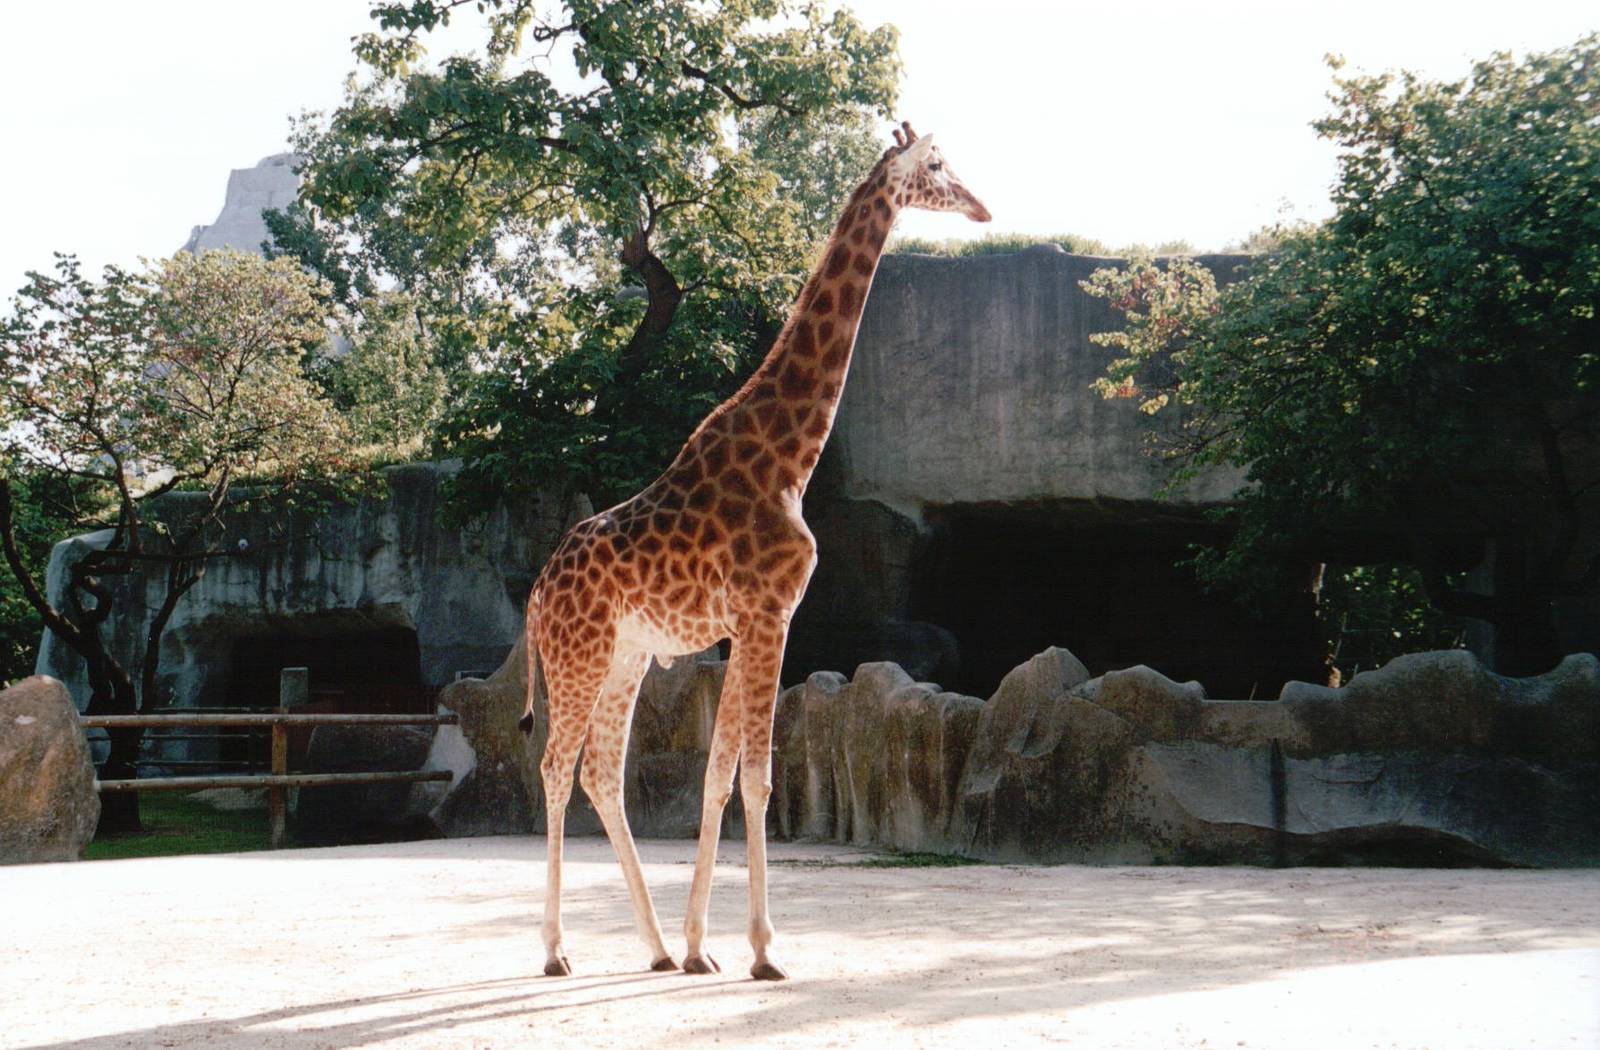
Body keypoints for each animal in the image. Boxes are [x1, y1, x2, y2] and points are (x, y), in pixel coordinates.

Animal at [520, 121, 990, 981]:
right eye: (937, 165)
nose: (982, 207)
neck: (789, 458)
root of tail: (536, 590)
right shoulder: (770, 613)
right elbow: (760, 778)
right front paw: (766, 949)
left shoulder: (746, 623)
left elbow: (718, 775)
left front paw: (702, 944)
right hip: (579, 656)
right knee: (555, 768)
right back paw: (557, 951)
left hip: (626, 655)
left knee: (601, 773)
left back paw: (657, 948)